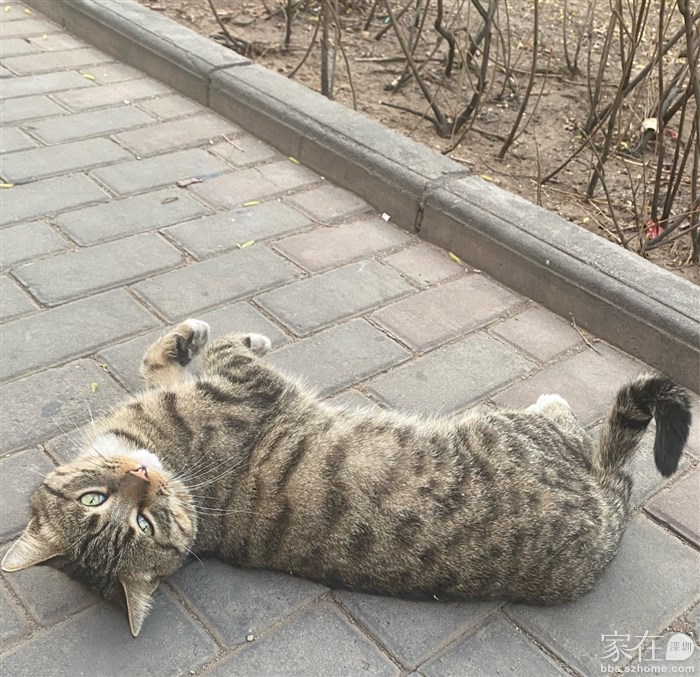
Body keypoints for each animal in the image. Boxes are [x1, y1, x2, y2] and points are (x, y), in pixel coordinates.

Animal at [1, 319, 691, 637]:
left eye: (113, 506)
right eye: (129, 515)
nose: (143, 479)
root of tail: (608, 527)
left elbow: (164, 361)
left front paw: (189, 343)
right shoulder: (245, 389)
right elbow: (220, 351)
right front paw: (214, 335)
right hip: (520, 432)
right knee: (576, 429)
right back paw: (557, 405)